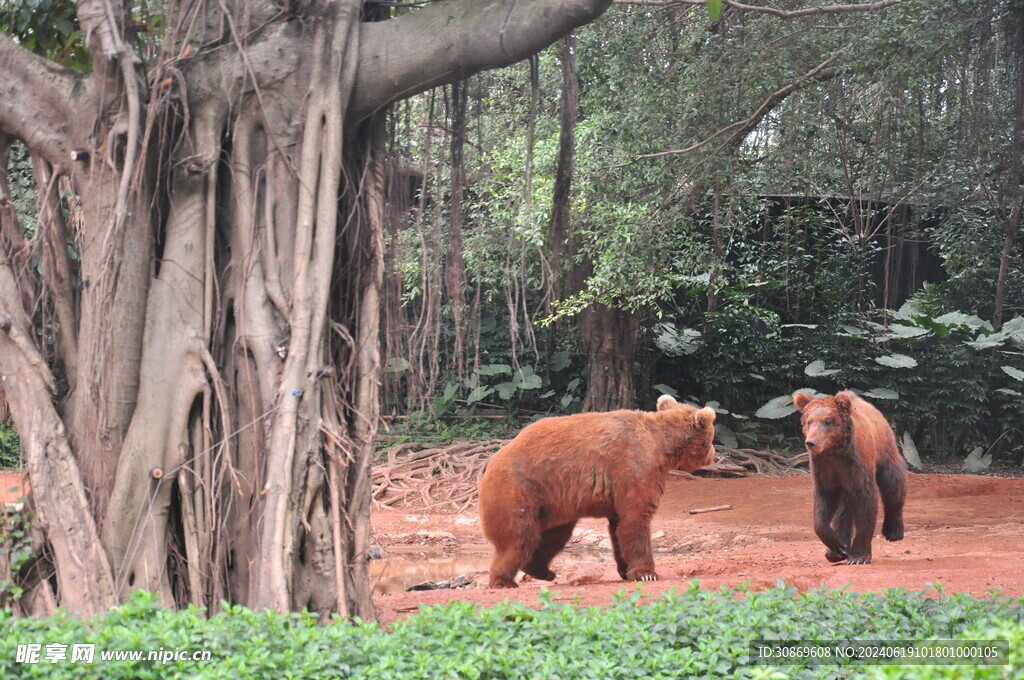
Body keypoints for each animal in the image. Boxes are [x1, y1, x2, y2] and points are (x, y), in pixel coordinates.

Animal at [477, 395, 712, 585]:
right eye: (710, 439)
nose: (713, 455)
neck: (662, 446)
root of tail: (489, 463)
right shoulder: (635, 467)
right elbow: (636, 519)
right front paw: (646, 573)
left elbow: (618, 528)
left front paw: (626, 570)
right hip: (519, 489)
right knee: (519, 536)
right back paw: (504, 580)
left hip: (551, 500)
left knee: (553, 535)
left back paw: (543, 571)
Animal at [790, 391, 905, 565]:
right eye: (809, 421)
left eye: (827, 421)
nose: (811, 442)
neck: (835, 452)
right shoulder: (824, 469)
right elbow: (822, 507)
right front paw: (837, 546)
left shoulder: (857, 464)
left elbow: (866, 501)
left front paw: (859, 556)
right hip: (845, 482)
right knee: (844, 508)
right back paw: (836, 549)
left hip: (884, 450)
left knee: (893, 484)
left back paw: (893, 531)